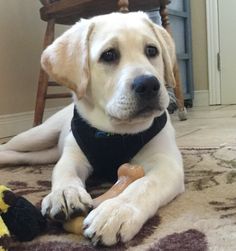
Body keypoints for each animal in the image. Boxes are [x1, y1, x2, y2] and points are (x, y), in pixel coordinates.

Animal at [0, 11, 184, 245]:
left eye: (152, 51)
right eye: (109, 55)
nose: (149, 84)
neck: (115, 133)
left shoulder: (167, 165)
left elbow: (143, 185)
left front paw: (116, 212)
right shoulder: (73, 156)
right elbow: (64, 171)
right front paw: (65, 193)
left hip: (40, 155)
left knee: (21, 156)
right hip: (37, 135)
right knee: (10, 146)